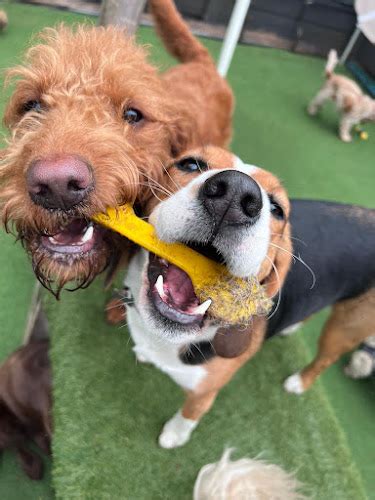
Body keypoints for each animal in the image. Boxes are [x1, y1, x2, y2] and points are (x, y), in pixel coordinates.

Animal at [121, 146, 375, 448]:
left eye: (277, 209)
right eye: (190, 164)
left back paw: (299, 382)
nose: (235, 192)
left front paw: (174, 435)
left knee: (324, 359)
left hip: (345, 329)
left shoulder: (204, 394)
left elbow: (189, 415)